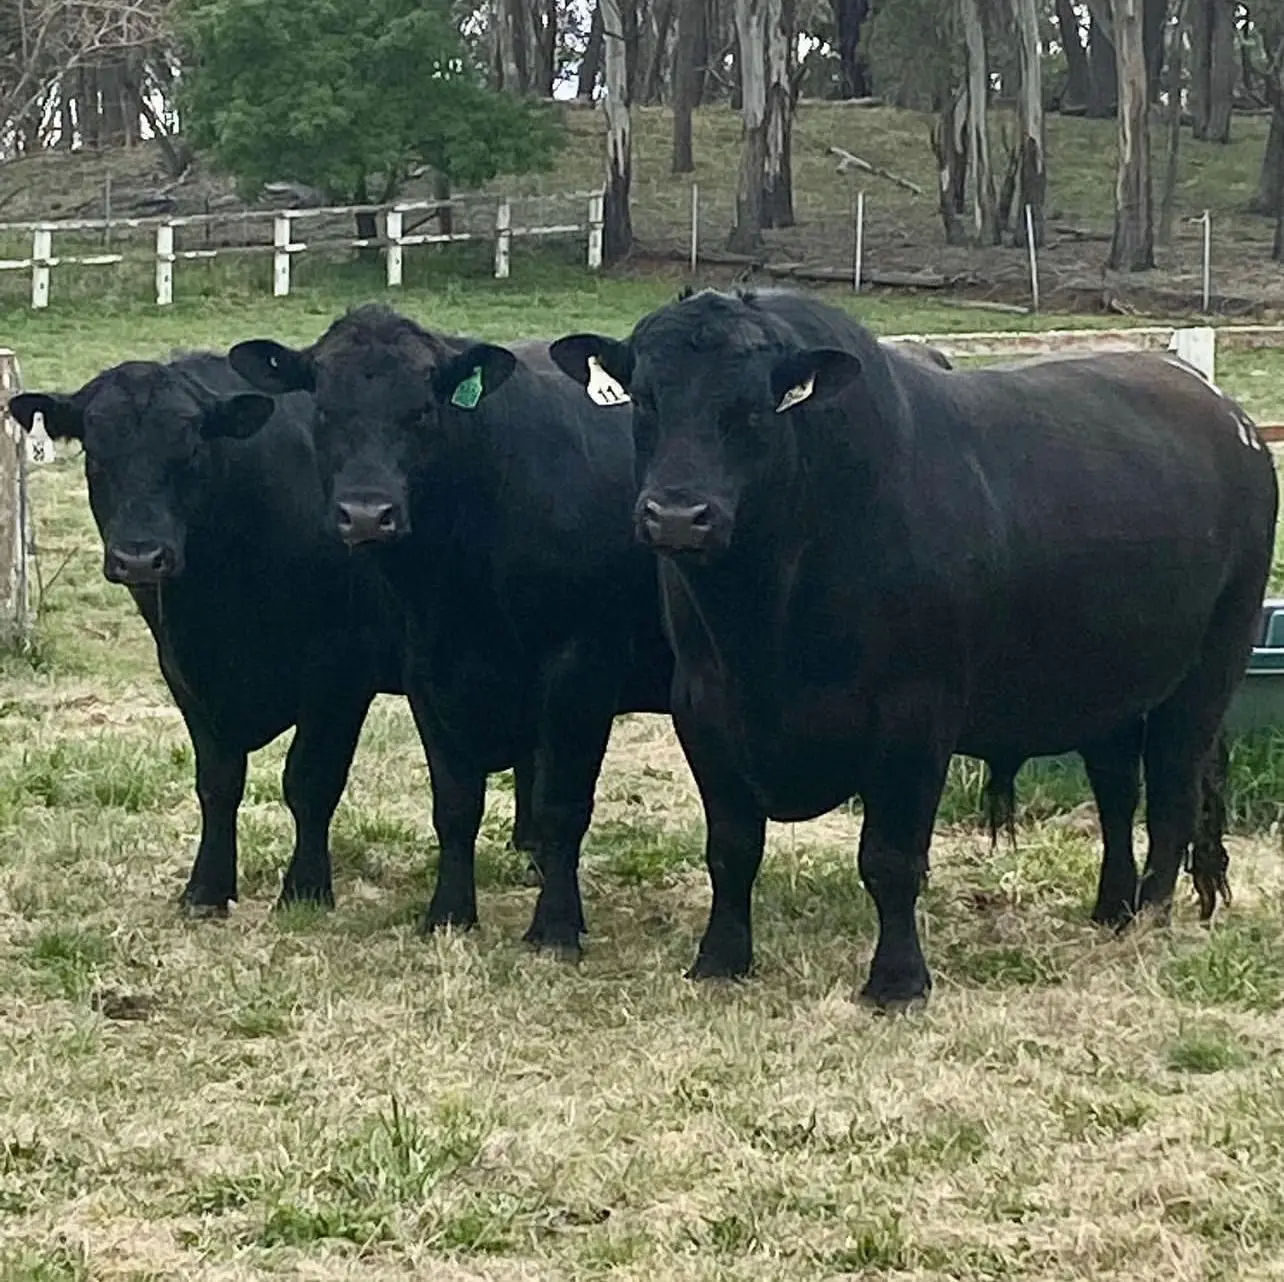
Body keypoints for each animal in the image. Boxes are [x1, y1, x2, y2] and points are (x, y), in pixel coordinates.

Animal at [9, 352, 535, 916]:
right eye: (95, 449)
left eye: (191, 447)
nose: (140, 556)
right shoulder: (182, 673)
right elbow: (218, 783)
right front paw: (206, 889)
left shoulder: (340, 670)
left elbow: (309, 780)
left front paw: (305, 888)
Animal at [226, 305, 674, 956]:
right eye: (324, 410)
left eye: (422, 411)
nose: (367, 514)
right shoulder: (427, 670)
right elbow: (456, 804)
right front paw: (449, 914)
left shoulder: (583, 666)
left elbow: (564, 805)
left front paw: (557, 928)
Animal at [547, 287, 1277, 1008]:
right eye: (645, 398)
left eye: (752, 408)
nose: (676, 515)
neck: (768, 614)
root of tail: (1226, 413)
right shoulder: (703, 707)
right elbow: (731, 845)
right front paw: (720, 959)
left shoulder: (916, 713)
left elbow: (891, 858)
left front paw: (896, 981)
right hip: (1110, 684)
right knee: (1118, 787)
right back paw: (1111, 908)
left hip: (1211, 666)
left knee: (1173, 788)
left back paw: (1150, 915)